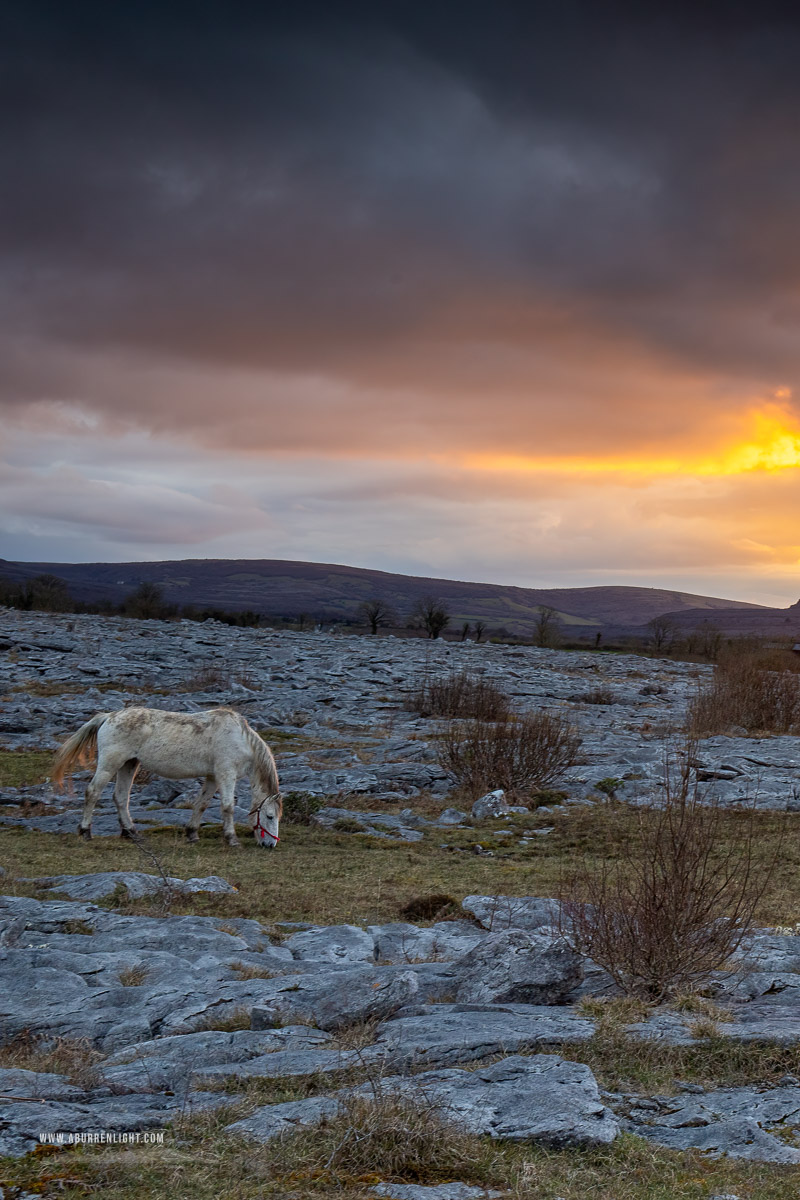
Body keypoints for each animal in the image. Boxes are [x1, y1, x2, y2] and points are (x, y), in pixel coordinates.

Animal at [51, 705, 283, 849]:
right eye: (270, 816)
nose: (270, 845)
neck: (239, 738)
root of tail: (108, 716)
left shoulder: (212, 776)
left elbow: (201, 804)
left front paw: (192, 834)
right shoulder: (226, 774)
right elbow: (227, 807)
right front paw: (232, 839)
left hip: (129, 764)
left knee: (121, 798)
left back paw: (131, 832)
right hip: (111, 763)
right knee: (93, 792)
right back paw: (85, 832)